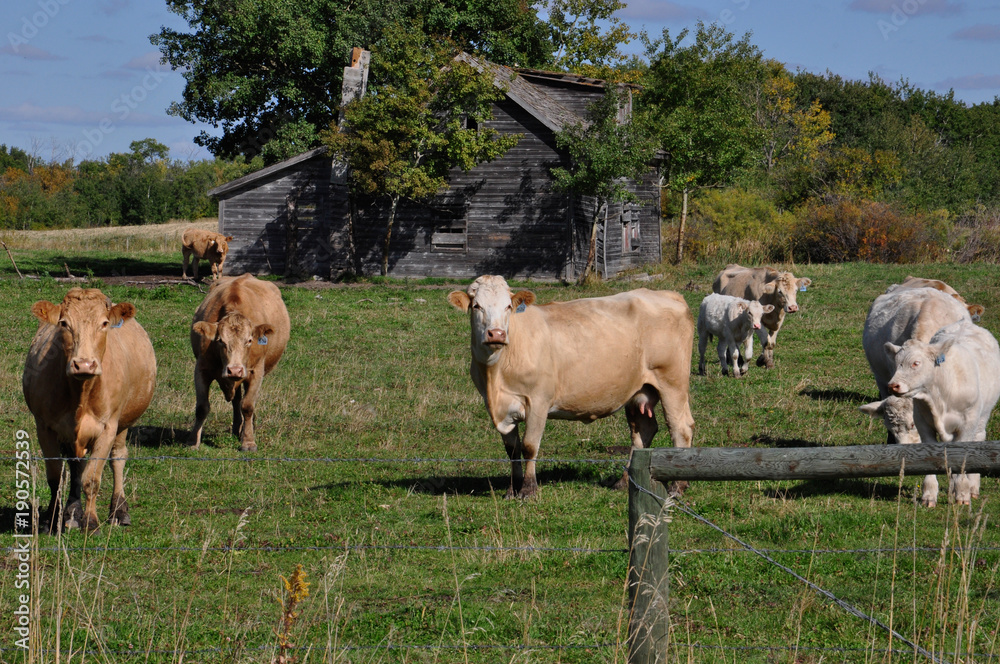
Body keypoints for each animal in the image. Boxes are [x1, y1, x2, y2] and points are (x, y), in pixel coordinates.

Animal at [22, 288, 156, 532]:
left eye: (104, 323)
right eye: (64, 323)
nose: (84, 364)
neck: (82, 392)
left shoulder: (107, 428)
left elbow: (92, 479)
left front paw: (91, 521)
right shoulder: (44, 427)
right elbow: (56, 476)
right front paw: (51, 519)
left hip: (124, 423)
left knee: (118, 458)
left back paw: (119, 511)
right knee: (76, 465)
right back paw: (72, 513)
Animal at [190, 274, 290, 452]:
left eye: (249, 340)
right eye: (220, 341)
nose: (234, 370)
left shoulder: (256, 371)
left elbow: (248, 406)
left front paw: (248, 442)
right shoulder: (201, 369)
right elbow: (202, 407)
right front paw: (194, 441)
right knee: (236, 401)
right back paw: (236, 429)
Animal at [448, 275, 695, 499]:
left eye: (508, 306)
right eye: (477, 306)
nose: (496, 334)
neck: (496, 376)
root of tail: (667, 294)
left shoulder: (538, 401)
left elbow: (529, 446)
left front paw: (528, 490)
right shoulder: (501, 408)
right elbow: (513, 451)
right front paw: (512, 489)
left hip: (672, 382)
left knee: (680, 429)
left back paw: (677, 487)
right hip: (639, 389)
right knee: (642, 432)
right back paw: (625, 482)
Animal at [880, 320, 1000, 506]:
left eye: (916, 363)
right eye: (896, 362)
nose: (893, 386)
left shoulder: (967, 425)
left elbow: (962, 459)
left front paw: (962, 493)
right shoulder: (922, 424)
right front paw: (929, 495)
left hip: (981, 419)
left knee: (978, 440)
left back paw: (972, 486)